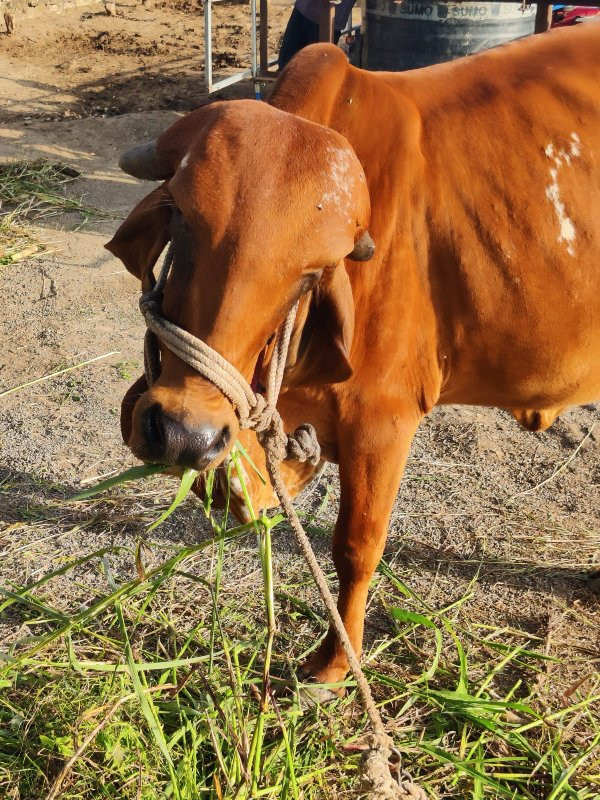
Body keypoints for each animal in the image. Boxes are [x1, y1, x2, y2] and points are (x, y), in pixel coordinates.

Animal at [108, 26, 600, 688]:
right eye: (182, 221)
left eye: (309, 274)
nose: (186, 434)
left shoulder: (385, 421)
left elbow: (356, 547)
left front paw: (335, 663)